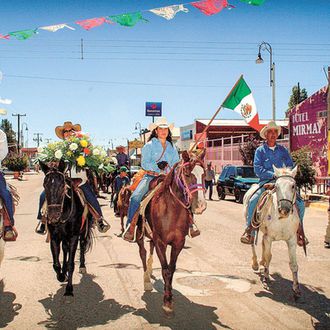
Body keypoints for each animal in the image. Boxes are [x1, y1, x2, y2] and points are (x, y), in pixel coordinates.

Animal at [135, 151, 205, 314]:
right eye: (187, 174)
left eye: (204, 174)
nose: (200, 206)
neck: (172, 209)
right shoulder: (161, 242)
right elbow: (165, 270)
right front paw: (167, 302)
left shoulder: (178, 243)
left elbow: (171, 269)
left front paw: (170, 296)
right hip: (140, 235)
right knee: (143, 253)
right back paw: (146, 280)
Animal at [242, 166, 302, 298]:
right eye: (277, 186)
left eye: (293, 186)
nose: (284, 209)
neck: (282, 218)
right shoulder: (269, 237)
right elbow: (269, 257)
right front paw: (265, 278)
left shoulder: (292, 240)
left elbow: (293, 264)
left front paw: (296, 289)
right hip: (252, 226)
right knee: (252, 243)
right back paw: (256, 263)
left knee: (263, 246)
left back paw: (261, 262)